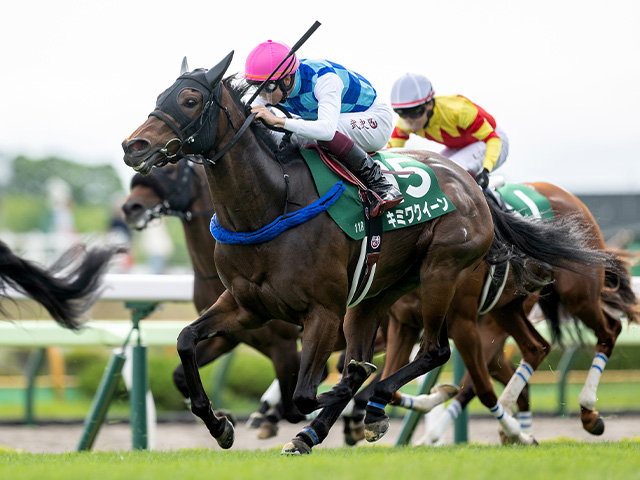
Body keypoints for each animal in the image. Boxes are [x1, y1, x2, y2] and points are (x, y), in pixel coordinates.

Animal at [121, 52, 616, 454]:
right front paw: (221, 425)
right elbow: (187, 343)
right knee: (516, 353)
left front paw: (337, 409)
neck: (272, 204)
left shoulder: (318, 314)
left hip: (450, 278)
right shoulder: (246, 308)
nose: (134, 146)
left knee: (441, 354)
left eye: (189, 99)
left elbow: (306, 393)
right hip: (387, 298)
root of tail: (468, 184)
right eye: (161, 94)